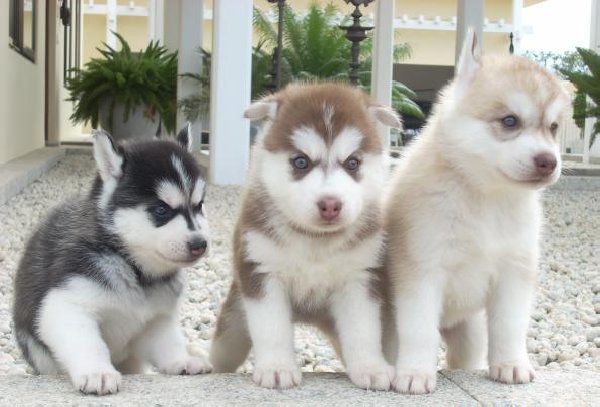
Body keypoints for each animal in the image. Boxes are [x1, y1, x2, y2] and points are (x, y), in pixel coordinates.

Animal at [12, 126, 212, 396]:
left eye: (199, 206)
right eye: (161, 210)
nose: (200, 244)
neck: (132, 267)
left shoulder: (156, 318)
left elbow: (169, 341)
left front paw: (182, 359)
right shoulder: (66, 305)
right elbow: (88, 343)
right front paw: (97, 372)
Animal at [209, 83, 400, 392]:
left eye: (353, 163)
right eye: (300, 161)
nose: (330, 204)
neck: (316, 241)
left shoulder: (360, 278)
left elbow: (363, 330)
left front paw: (371, 367)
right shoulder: (262, 273)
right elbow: (272, 328)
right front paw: (277, 367)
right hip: (232, 328)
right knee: (222, 354)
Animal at [384, 30, 572, 394]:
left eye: (553, 127)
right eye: (510, 120)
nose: (549, 161)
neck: (487, 197)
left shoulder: (514, 272)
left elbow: (510, 325)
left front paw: (511, 365)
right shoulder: (421, 272)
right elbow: (419, 330)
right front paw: (415, 373)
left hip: (468, 335)